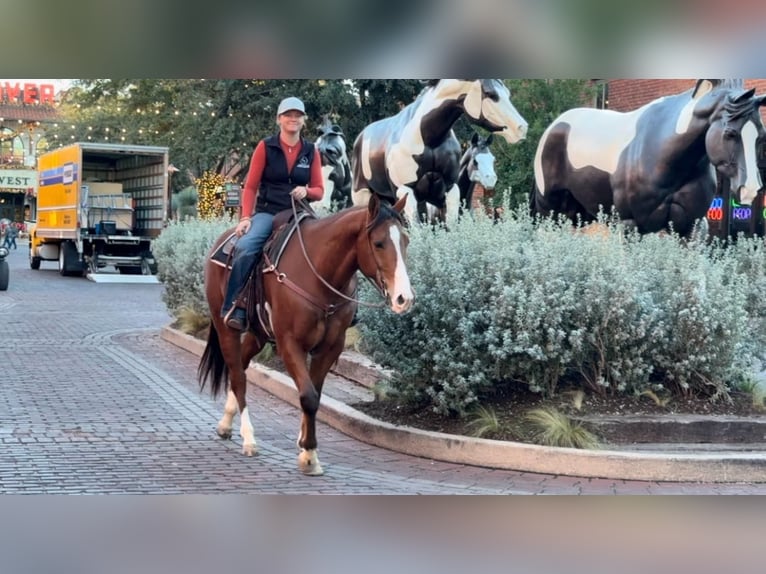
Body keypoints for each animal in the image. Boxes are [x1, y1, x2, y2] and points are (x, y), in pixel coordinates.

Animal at [198, 195, 414, 476]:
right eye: (378, 243)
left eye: (405, 241)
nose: (404, 298)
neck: (319, 275)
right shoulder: (289, 343)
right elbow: (308, 396)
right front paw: (309, 455)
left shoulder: (330, 347)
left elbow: (315, 395)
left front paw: (305, 447)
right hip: (226, 326)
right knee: (237, 375)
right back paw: (248, 438)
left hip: (258, 333)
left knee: (242, 366)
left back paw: (226, 423)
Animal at [352, 79, 528, 225]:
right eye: (490, 94)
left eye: (493, 159)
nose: (522, 128)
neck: (429, 139)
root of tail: (360, 137)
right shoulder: (405, 190)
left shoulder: (449, 190)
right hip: (363, 196)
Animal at [532, 77, 766, 237]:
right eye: (730, 133)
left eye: (760, 136)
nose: (750, 189)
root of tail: (554, 127)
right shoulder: (630, 225)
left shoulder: (693, 226)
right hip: (548, 211)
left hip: (577, 215)